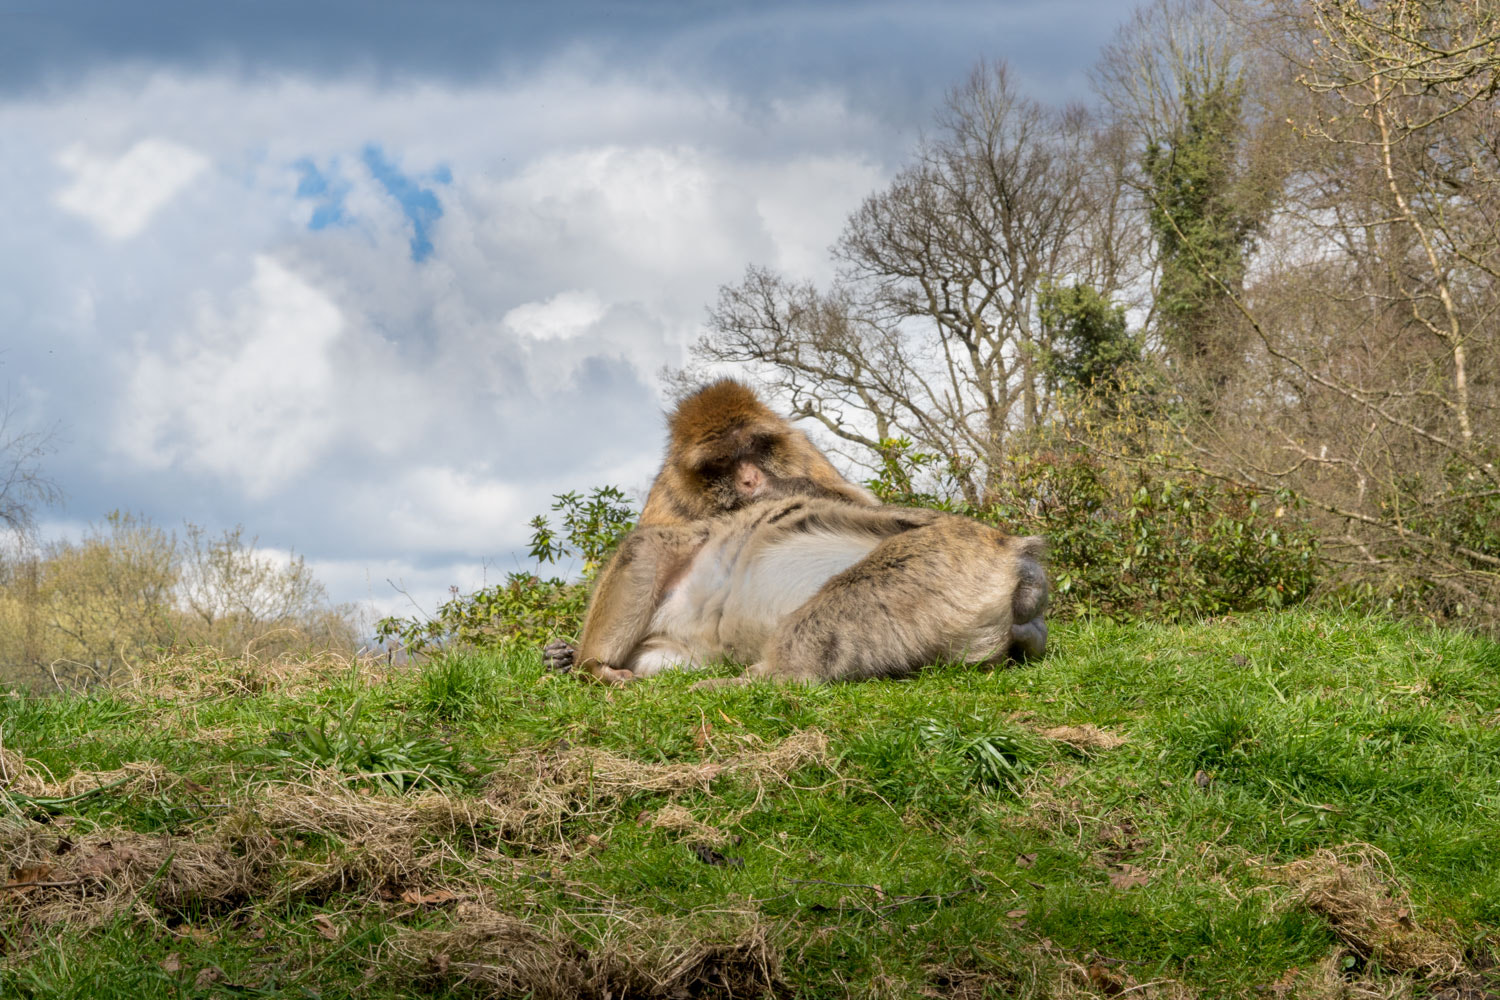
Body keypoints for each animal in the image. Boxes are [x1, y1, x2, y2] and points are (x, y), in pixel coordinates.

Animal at [543, 378, 878, 673]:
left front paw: (780, 489)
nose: (750, 479)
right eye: (722, 460)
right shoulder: (671, 493)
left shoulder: (801, 451)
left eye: (752, 446)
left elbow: (862, 509)